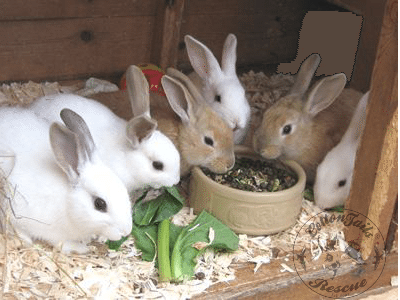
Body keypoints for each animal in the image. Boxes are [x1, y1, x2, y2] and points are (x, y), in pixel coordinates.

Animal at [0, 106, 132, 252]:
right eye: (100, 204)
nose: (126, 231)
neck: (68, 203)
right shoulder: (47, 230)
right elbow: (62, 245)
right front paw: (83, 248)